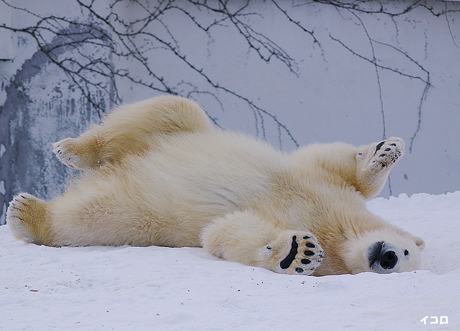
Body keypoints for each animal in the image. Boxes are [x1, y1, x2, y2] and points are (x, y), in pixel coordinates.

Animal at [6, 94, 424, 276]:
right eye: (405, 252)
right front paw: (385, 150)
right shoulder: (325, 186)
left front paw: (296, 253)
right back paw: (71, 150)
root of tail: (120, 169)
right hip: (180, 132)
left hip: (143, 211)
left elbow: (225, 232)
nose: (387, 257)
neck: (342, 231)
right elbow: (329, 162)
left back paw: (27, 213)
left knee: (93, 215)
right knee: (169, 110)